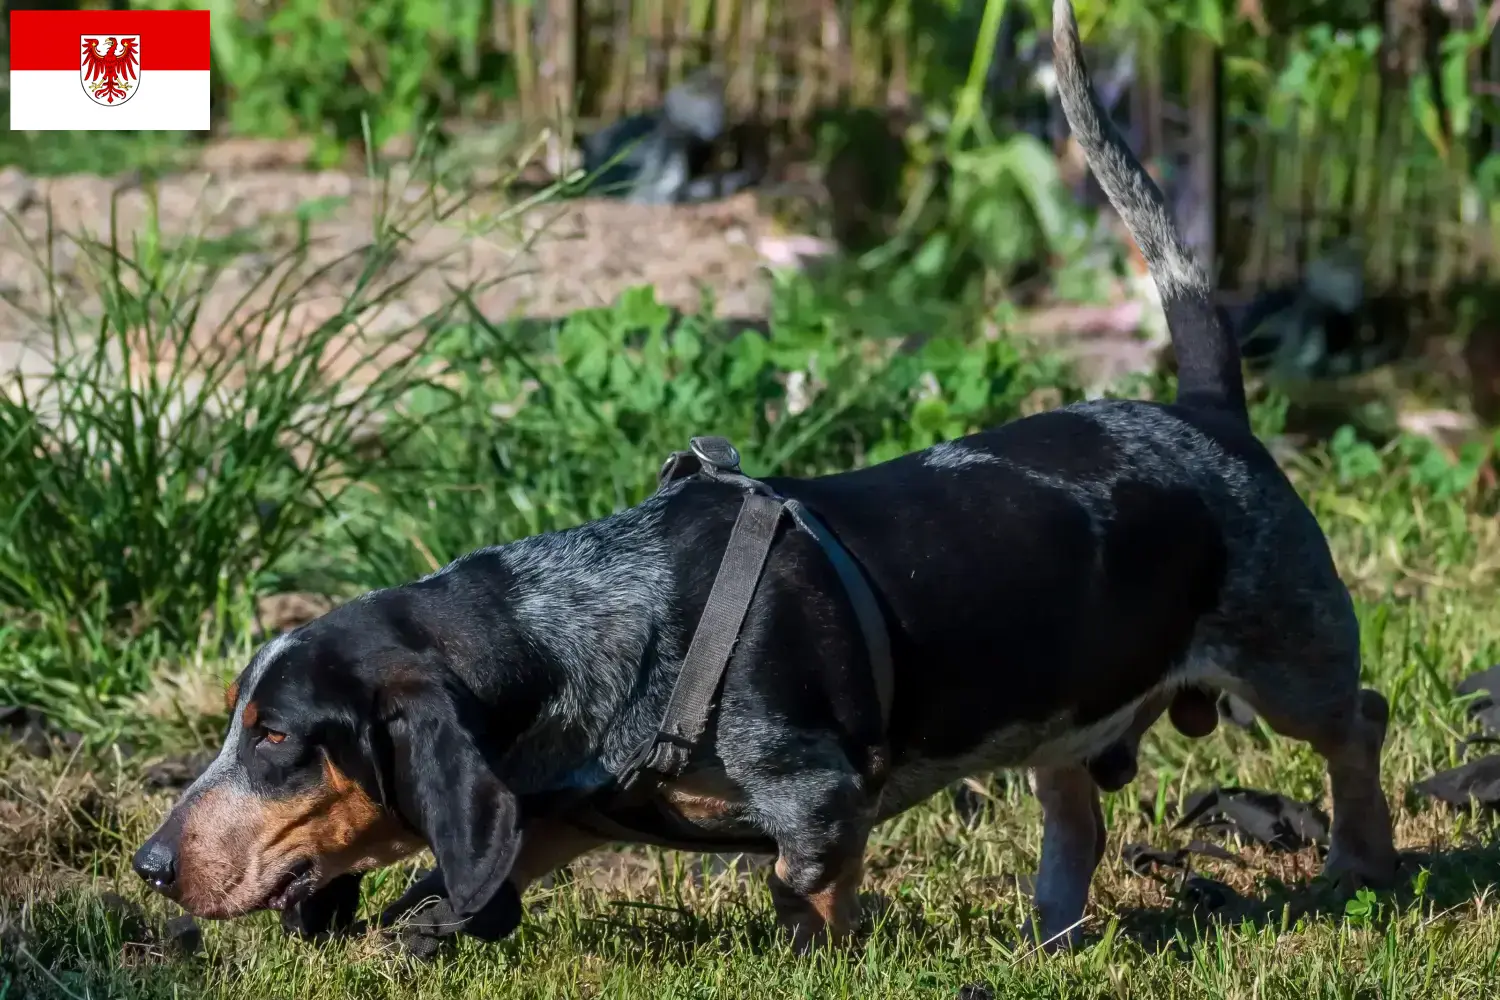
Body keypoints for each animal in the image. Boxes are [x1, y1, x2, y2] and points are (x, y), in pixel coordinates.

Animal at [135, 0, 1398, 953]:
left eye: (278, 739)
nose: (149, 863)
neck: (587, 623)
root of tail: (1207, 409)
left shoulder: (818, 802)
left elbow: (804, 891)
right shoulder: (564, 810)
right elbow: (477, 874)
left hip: (1288, 662)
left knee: (1360, 723)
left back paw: (1360, 864)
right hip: (1060, 712)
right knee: (1076, 815)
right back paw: (1054, 935)